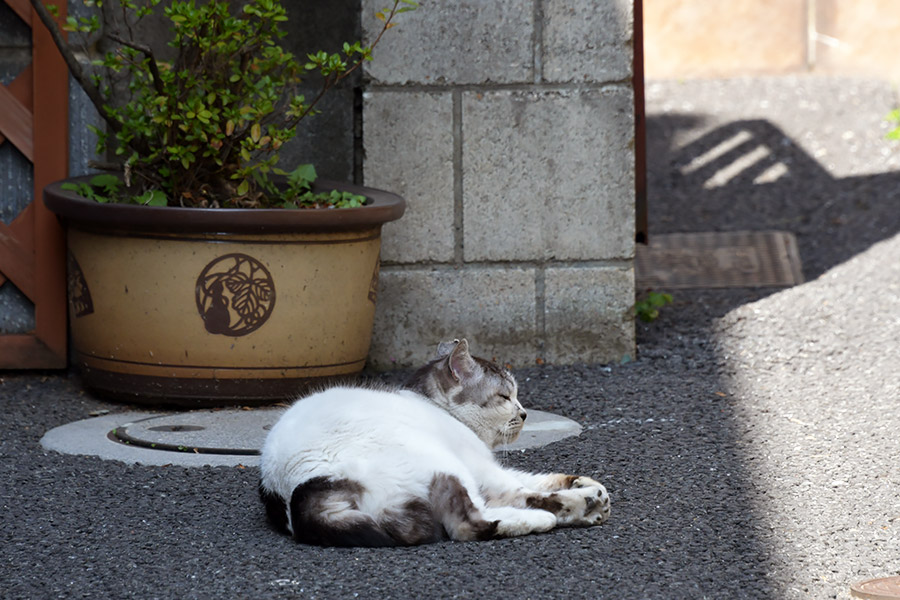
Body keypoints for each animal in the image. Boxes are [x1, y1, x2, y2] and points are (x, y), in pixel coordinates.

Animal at [260, 340, 612, 548]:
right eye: (504, 397)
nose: (524, 413)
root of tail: (300, 488)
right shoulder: (485, 472)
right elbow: (528, 490)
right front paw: (586, 497)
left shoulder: (491, 469)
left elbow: (540, 478)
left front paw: (587, 484)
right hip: (444, 465)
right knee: (469, 524)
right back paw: (559, 514)